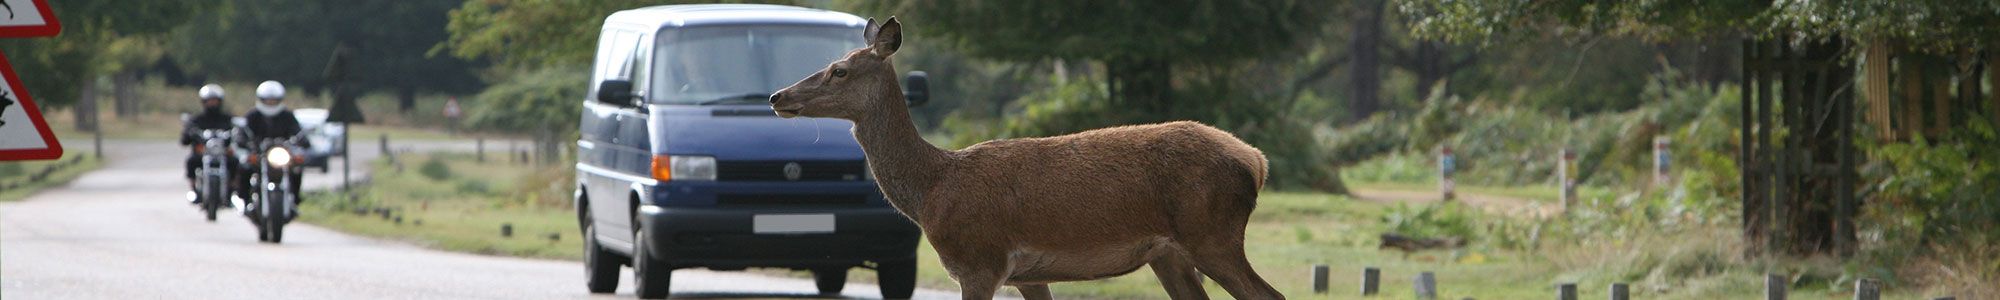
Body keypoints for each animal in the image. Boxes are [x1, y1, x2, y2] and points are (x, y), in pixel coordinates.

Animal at [764, 17, 1280, 298]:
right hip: (1170, 254)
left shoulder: (979, 261)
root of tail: (1256, 161)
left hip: (1212, 233)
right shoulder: (1027, 274)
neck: (931, 189)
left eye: (839, 69)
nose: (777, 96)